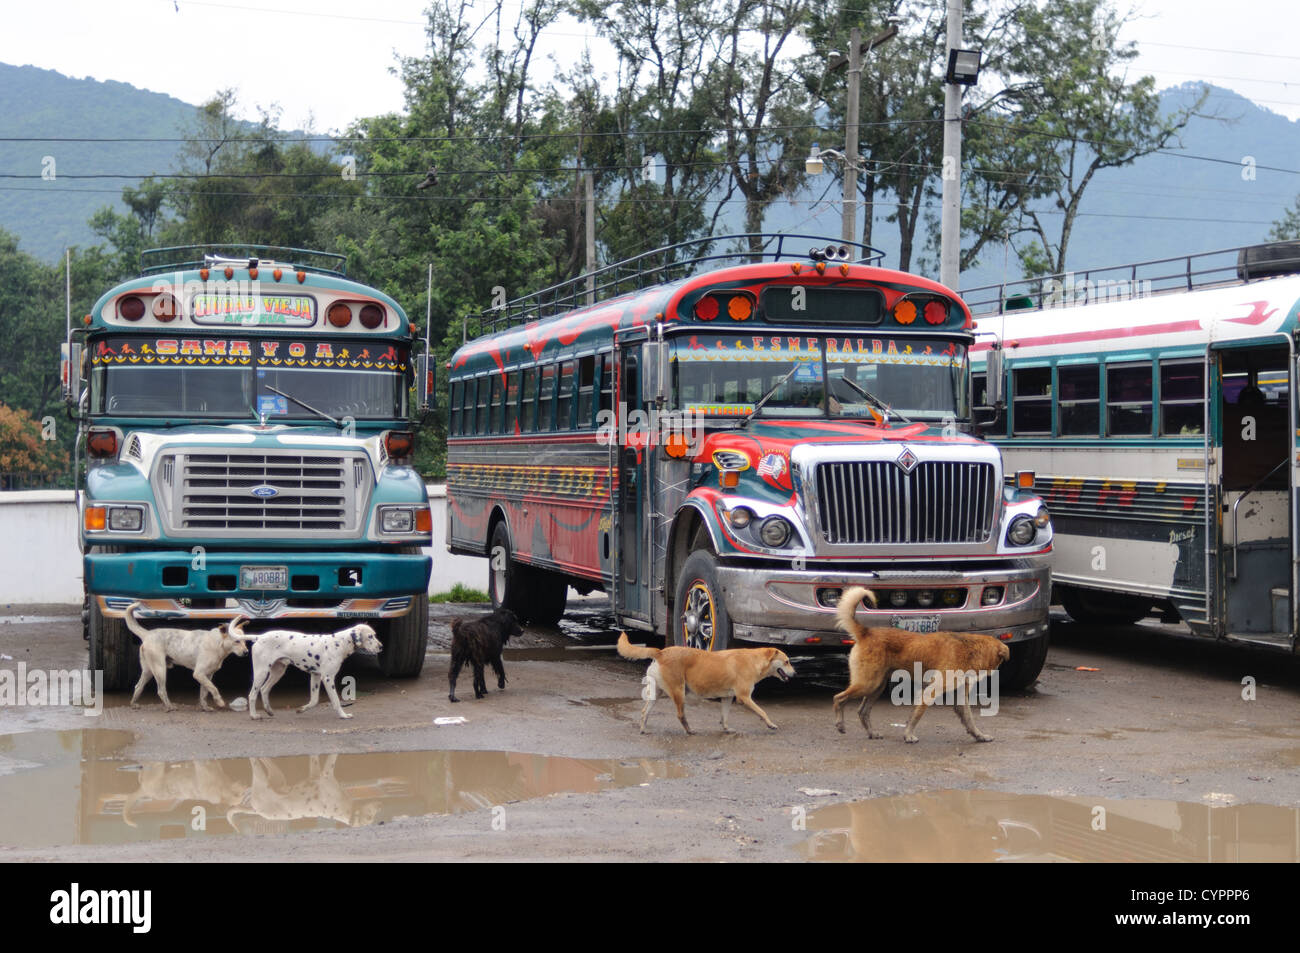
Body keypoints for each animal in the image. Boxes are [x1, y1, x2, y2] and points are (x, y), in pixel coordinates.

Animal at [231, 621, 382, 717]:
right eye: (370, 636)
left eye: (374, 635)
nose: (381, 647)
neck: (338, 643)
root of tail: (259, 637)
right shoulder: (327, 678)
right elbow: (336, 701)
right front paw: (343, 715)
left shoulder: (315, 676)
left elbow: (314, 701)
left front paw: (302, 709)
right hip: (261, 673)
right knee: (252, 694)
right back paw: (254, 715)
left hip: (277, 672)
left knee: (264, 690)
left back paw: (269, 711)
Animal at [616, 631, 795, 738]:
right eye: (786, 662)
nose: (794, 674)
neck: (754, 661)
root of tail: (661, 652)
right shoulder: (744, 697)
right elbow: (762, 712)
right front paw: (770, 724)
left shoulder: (727, 698)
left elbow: (724, 717)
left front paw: (726, 729)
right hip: (679, 692)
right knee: (680, 715)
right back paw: (689, 731)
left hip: (656, 693)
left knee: (644, 711)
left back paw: (643, 729)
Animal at [832, 587, 1013, 743]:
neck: (969, 649)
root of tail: (865, 632)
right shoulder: (930, 691)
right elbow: (916, 715)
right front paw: (908, 735)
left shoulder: (960, 698)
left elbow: (970, 720)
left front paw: (979, 736)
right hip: (867, 684)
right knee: (838, 698)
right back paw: (840, 724)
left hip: (876, 687)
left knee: (862, 712)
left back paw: (871, 733)